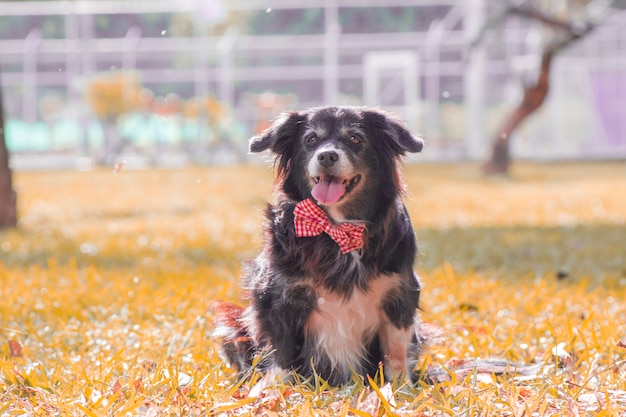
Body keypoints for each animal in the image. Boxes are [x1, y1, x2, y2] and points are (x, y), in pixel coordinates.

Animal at [213, 105, 424, 392]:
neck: (335, 229)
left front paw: (400, 388)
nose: (326, 155)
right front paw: (274, 388)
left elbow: (397, 350)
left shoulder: (400, 295)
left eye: (355, 139)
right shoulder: (278, 296)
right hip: (231, 324)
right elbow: (282, 349)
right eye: (311, 139)